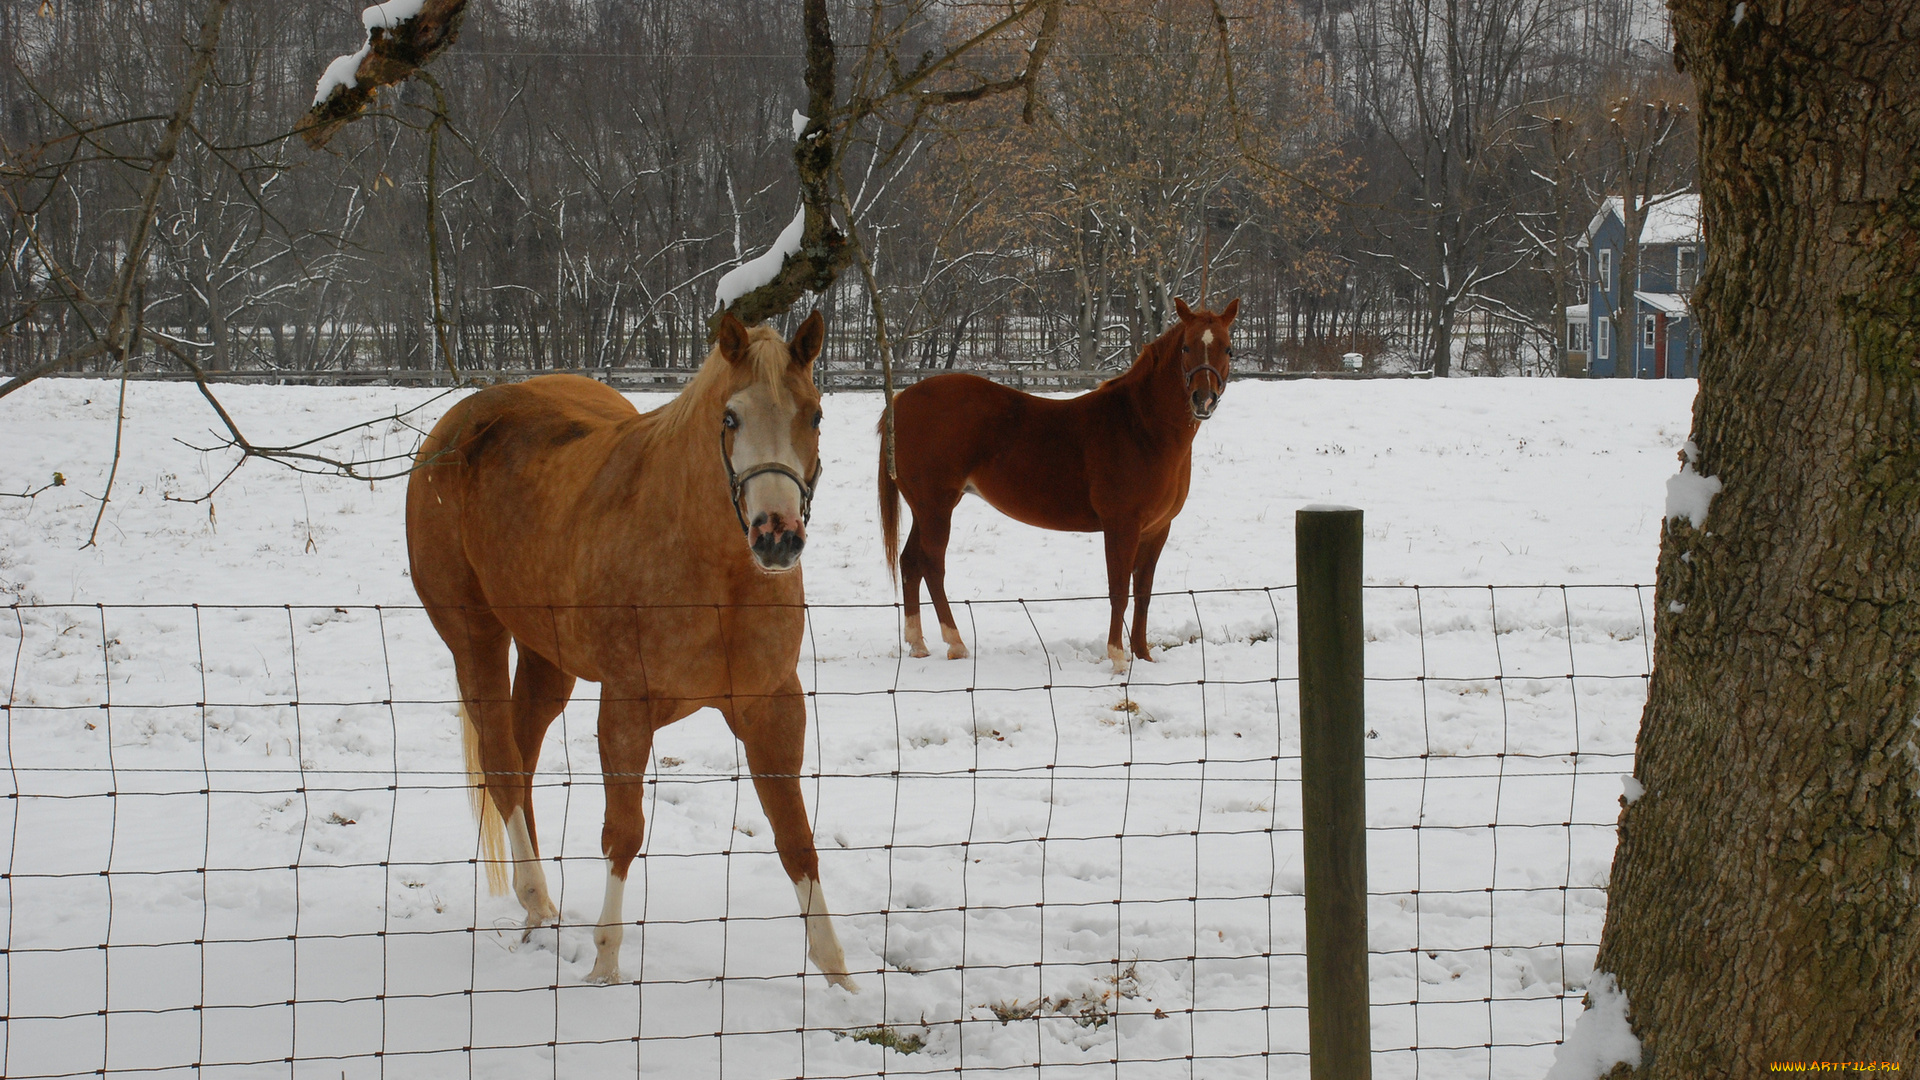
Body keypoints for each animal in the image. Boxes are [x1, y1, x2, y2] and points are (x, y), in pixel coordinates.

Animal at [408, 309, 860, 983]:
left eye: (816, 416)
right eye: (730, 417)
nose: (777, 536)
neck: (716, 572)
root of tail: (455, 425)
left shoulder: (772, 707)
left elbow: (795, 837)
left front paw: (839, 977)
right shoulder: (626, 707)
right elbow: (622, 832)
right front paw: (605, 966)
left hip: (548, 658)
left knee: (523, 749)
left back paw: (540, 908)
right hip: (475, 637)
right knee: (502, 760)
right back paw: (535, 896)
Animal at [879, 294, 1236, 664]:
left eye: (1228, 349)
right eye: (1186, 347)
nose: (1204, 400)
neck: (1139, 426)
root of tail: (901, 400)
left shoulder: (1157, 529)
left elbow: (1143, 592)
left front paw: (1143, 655)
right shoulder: (1121, 525)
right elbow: (1119, 591)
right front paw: (1117, 657)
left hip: (924, 508)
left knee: (910, 562)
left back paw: (918, 644)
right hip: (936, 507)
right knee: (932, 564)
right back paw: (956, 643)